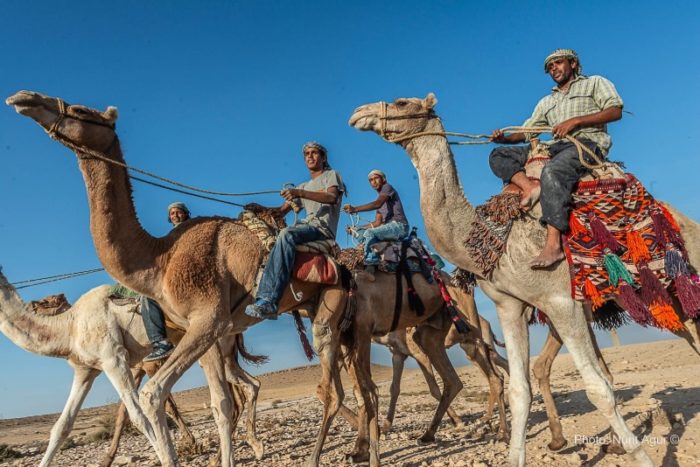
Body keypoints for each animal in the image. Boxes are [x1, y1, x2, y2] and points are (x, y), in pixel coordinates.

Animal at [6, 91, 360, 467]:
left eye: (80, 109)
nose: (25, 98)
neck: (161, 260)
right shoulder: (207, 331)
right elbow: (219, 405)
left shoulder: (202, 321)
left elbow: (151, 398)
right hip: (310, 309)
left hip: (328, 308)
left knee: (332, 388)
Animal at [350, 93, 700, 466]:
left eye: (402, 103)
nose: (359, 113)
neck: (496, 238)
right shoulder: (510, 306)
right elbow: (520, 391)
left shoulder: (561, 302)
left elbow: (598, 389)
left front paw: (640, 456)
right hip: (666, 297)